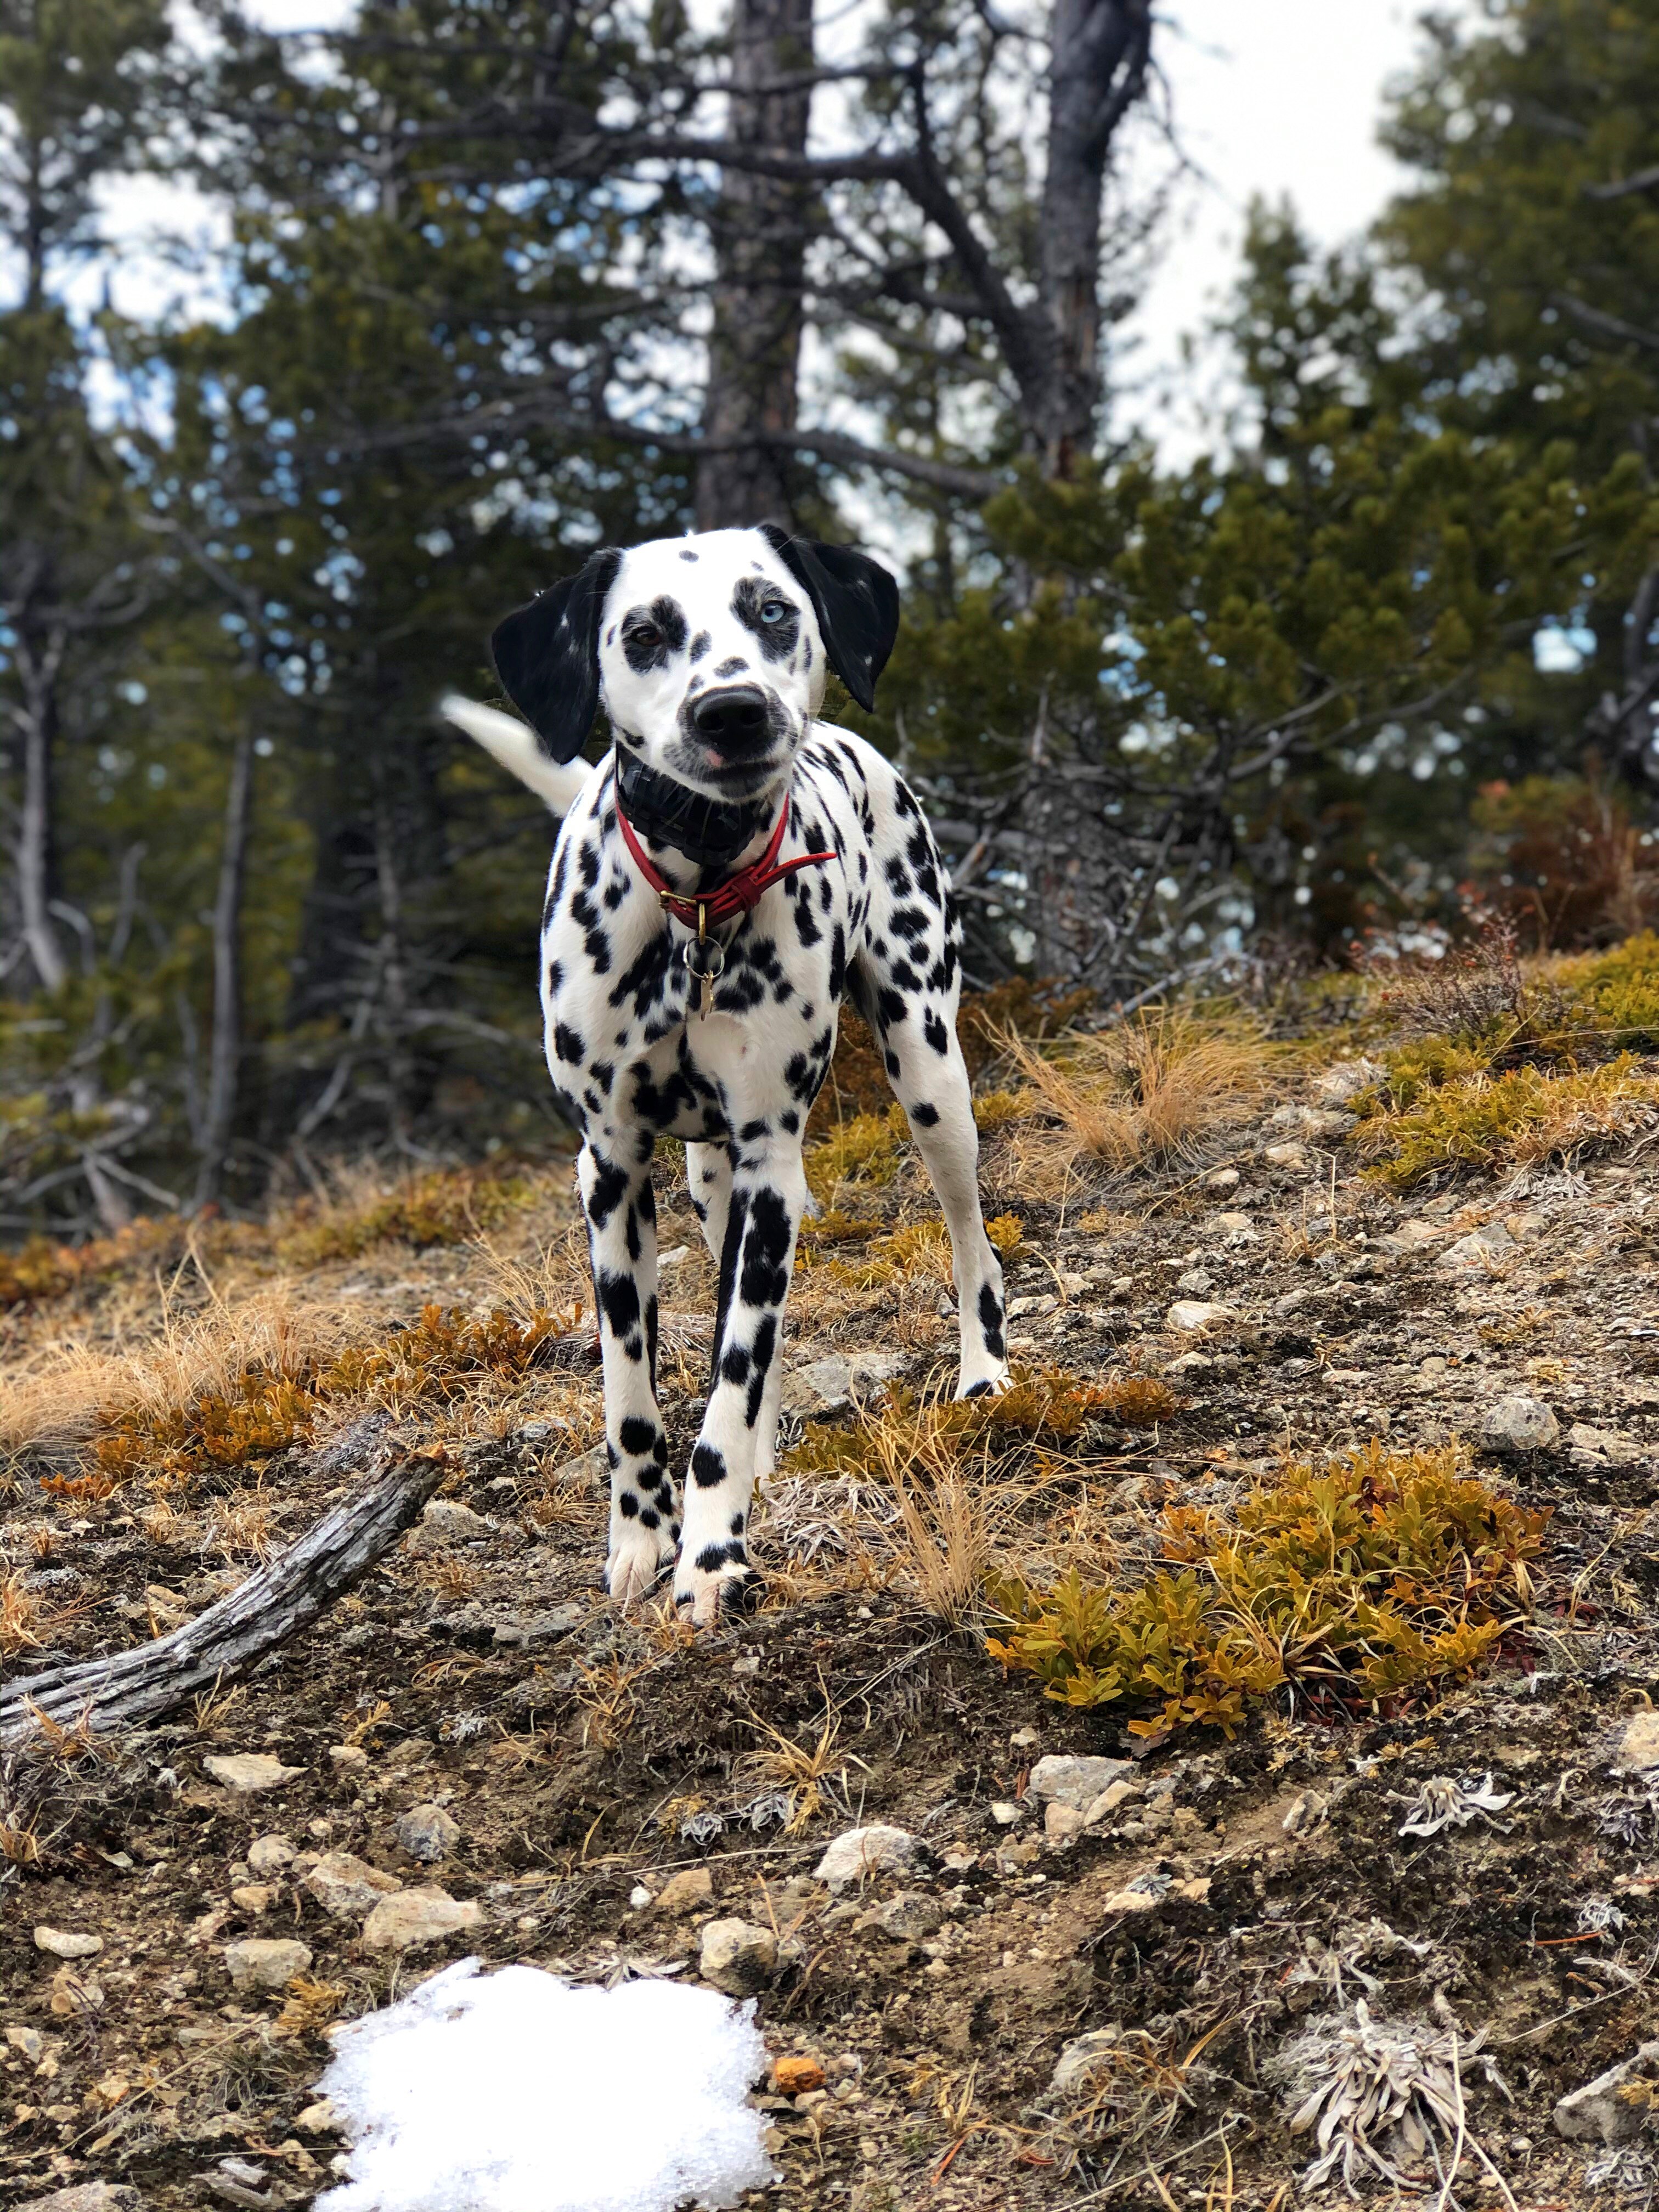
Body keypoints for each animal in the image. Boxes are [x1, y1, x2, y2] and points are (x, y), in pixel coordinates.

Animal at [444, 522, 1013, 1628]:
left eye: (771, 610)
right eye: (645, 633)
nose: (734, 711)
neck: (698, 899)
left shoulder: (772, 1165)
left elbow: (731, 1373)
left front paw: (711, 1553)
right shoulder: (612, 1173)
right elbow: (634, 1390)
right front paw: (640, 1537)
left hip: (929, 1073)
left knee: (970, 1240)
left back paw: (982, 1372)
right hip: (712, 1189)